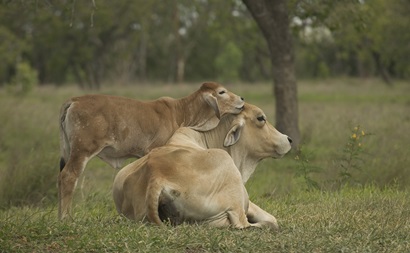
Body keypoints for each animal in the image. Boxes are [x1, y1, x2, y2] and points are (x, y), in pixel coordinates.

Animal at [57, 81, 243, 219]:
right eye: (222, 92)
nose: (241, 99)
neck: (181, 112)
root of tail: (73, 101)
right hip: (82, 150)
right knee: (68, 176)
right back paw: (65, 217)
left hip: (69, 150)